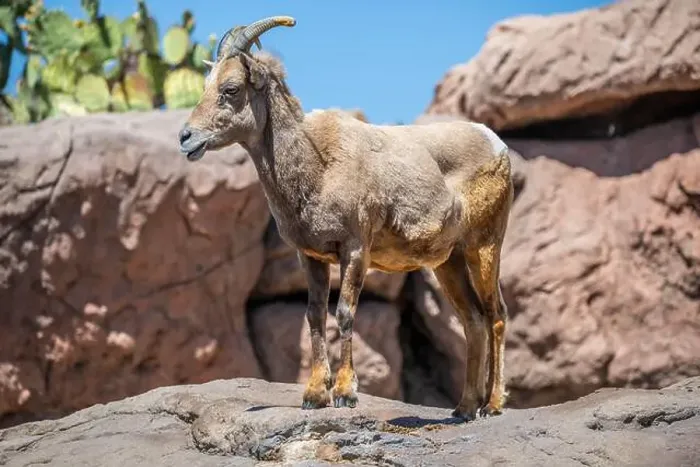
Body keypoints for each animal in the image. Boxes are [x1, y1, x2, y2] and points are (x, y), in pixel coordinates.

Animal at [178, 16, 514, 421]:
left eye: (230, 89)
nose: (186, 138)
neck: (318, 167)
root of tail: (496, 145)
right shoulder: (311, 257)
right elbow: (314, 317)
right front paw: (313, 396)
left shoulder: (354, 250)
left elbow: (345, 314)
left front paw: (344, 393)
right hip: (447, 263)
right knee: (473, 321)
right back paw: (464, 408)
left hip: (484, 246)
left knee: (495, 314)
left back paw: (492, 405)